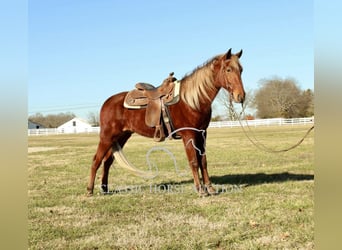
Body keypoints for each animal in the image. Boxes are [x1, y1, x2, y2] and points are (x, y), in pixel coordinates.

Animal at [87, 48, 244, 195]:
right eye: (228, 69)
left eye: (241, 70)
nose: (240, 96)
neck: (192, 100)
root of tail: (107, 102)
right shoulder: (189, 135)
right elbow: (193, 161)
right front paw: (200, 190)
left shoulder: (202, 134)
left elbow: (203, 161)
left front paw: (210, 188)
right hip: (107, 137)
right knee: (96, 160)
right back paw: (89, 190)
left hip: (121, 137)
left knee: (107, 161)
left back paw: (105, 188)